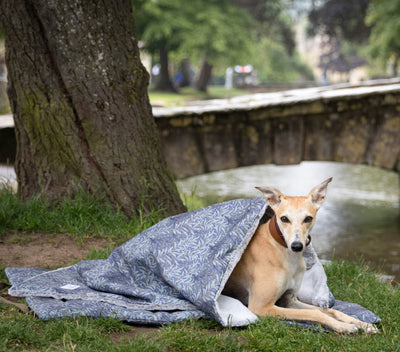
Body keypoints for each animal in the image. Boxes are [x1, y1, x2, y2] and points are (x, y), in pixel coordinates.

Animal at [225, 177, 378, 334]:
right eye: (284, 218)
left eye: (308, 218)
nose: (297, 246)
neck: (284, 254)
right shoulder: (260, 306)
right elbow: (314, 313)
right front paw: (343, 326)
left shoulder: (289, 300)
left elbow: (331, 311)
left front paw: (363, 324)